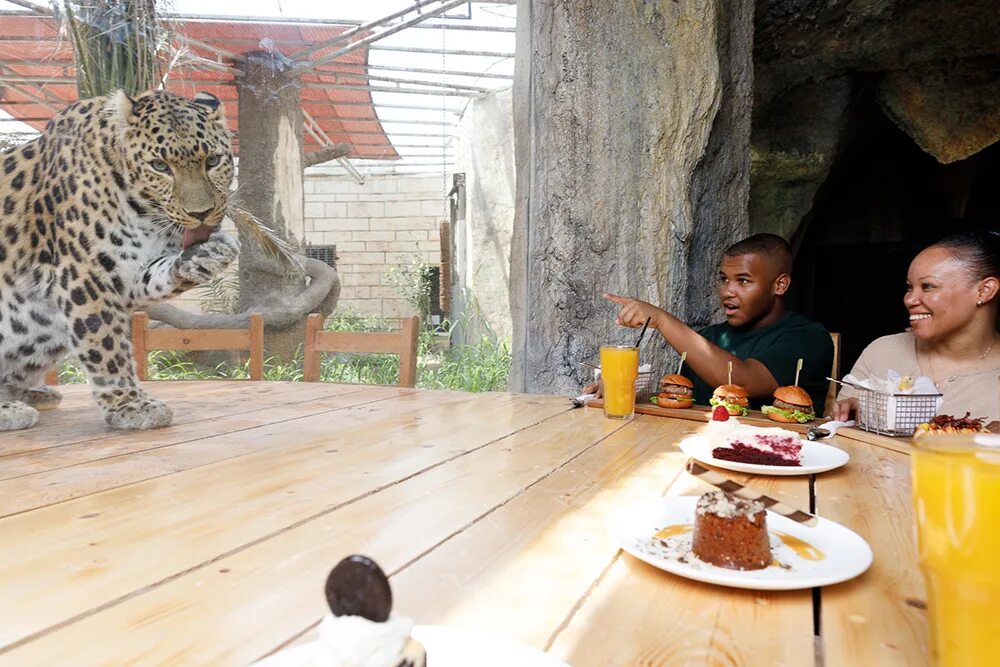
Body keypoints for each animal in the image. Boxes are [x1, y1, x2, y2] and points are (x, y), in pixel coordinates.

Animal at [0, 88, 240, 430]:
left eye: (214, 160)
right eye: (160, 166)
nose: (201, 214)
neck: (144, 212)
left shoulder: (126, 275)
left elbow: (159, 274)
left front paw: (205, 255)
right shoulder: (85, 275)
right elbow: (105, 345)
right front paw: (130, 405)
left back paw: (33, 394)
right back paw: (11, 409)